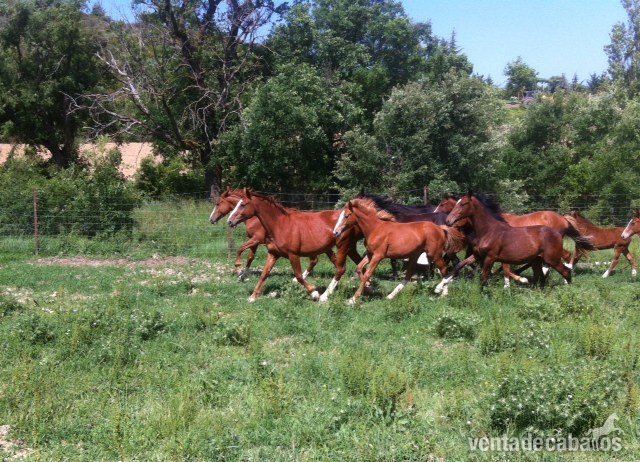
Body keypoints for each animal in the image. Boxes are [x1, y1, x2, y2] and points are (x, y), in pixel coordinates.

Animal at [226, 189, 362, 302]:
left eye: (242, 204)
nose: (230, 221)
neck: (280, 225)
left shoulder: (293, 255)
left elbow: (299, 276)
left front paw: (314, 293)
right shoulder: (273, 254)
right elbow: (264, 274)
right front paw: (253, 297)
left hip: (343, 246)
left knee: (341, 269)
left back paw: (325, 296)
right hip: (349, 248)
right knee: (360, 264)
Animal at [332, 197, 465, 304]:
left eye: (346, 216)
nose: (336, 232)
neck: (376, 229)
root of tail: (440, 228)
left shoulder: (378, 256)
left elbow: (367, 274)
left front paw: (354, 298)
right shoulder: (370, 254)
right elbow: (360, 268)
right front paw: (369, 288)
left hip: (434, 254)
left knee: (444, 269)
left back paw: (443, 293)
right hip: (416, 255)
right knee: (409, 274)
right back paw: (391, 296)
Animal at [440, 193, 576, 290]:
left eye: (463, 204)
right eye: (456, 203)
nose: (448, 221)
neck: (488, 231)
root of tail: (558, 231)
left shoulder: (490, 257)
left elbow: (484, 278)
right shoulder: (478, 255)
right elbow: (459, 265)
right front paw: (441, 286)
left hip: (552, 259)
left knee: (566, 271)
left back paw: (568, 292)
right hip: (536, 261)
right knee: (541, 278)